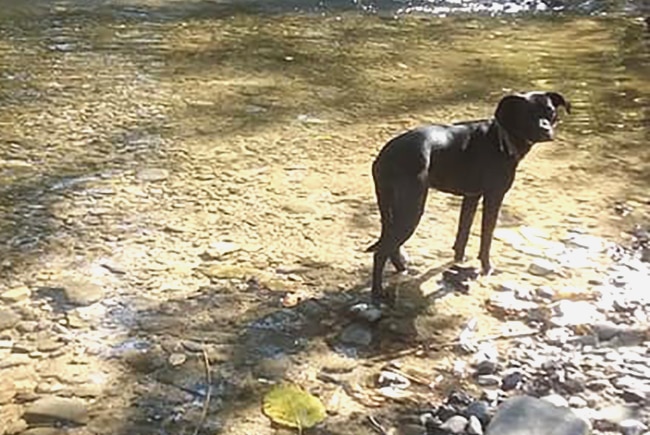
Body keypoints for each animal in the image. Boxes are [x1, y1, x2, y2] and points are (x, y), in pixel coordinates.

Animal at [368, 90, 568, 304]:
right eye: (527, 114)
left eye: (550, 111)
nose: (545, 129)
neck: (501, 137)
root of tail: (385, 156)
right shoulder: (493, 197)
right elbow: (487, 237)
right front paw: (487, 268)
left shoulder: (471, 197)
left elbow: (463, 232)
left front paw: (459, 260)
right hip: (411, 210)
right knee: (381, 252)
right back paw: (378, 292)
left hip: (389, 206)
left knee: (390, 244)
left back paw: (402, 269)